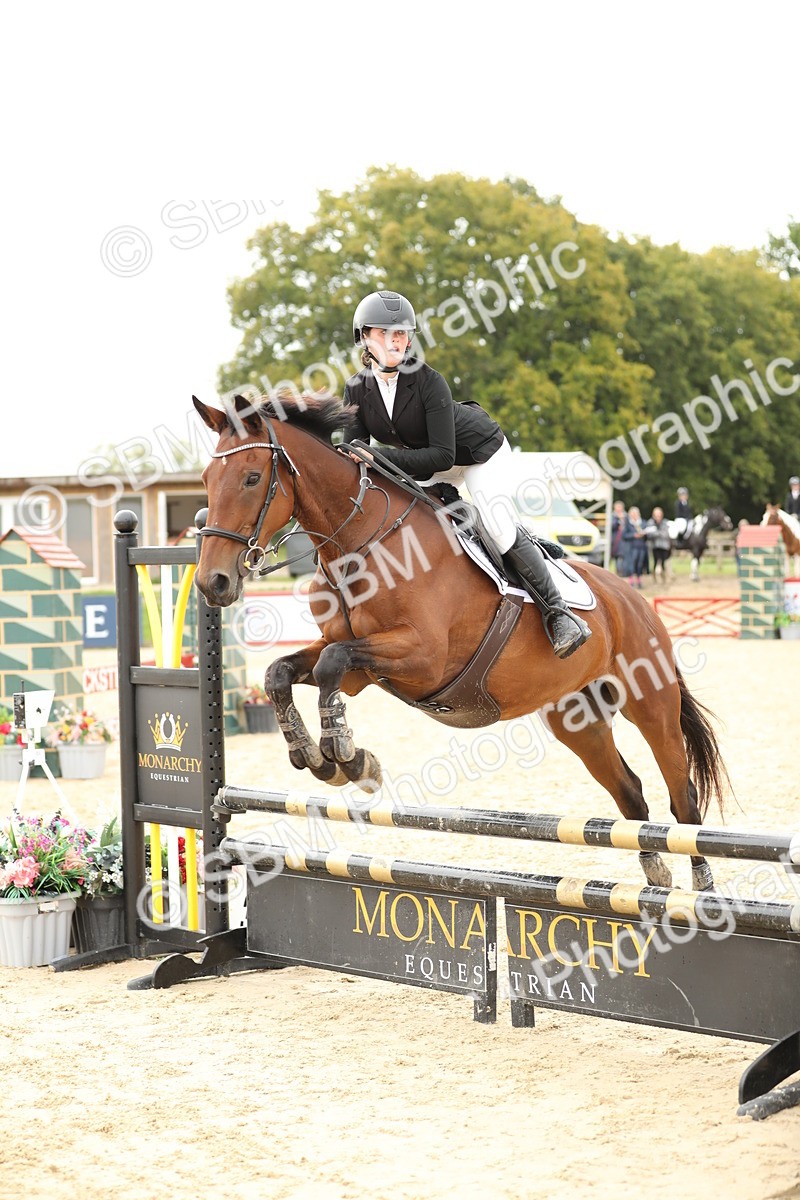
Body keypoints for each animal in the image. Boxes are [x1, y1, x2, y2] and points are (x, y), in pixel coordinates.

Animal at [192, 393, 730, 893]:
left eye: (251, 478)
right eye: (206, 479)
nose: (212, 583)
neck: (360, 541)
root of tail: (636, 599)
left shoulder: (421, 658)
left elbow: (329, 664)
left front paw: (346, 756)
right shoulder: (362, 669)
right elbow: (282, 671)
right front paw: (320, 756)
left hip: (652, 705)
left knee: (682, 795)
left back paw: (702, 886)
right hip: (579, 719)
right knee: (632, 792)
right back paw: (656, 876)